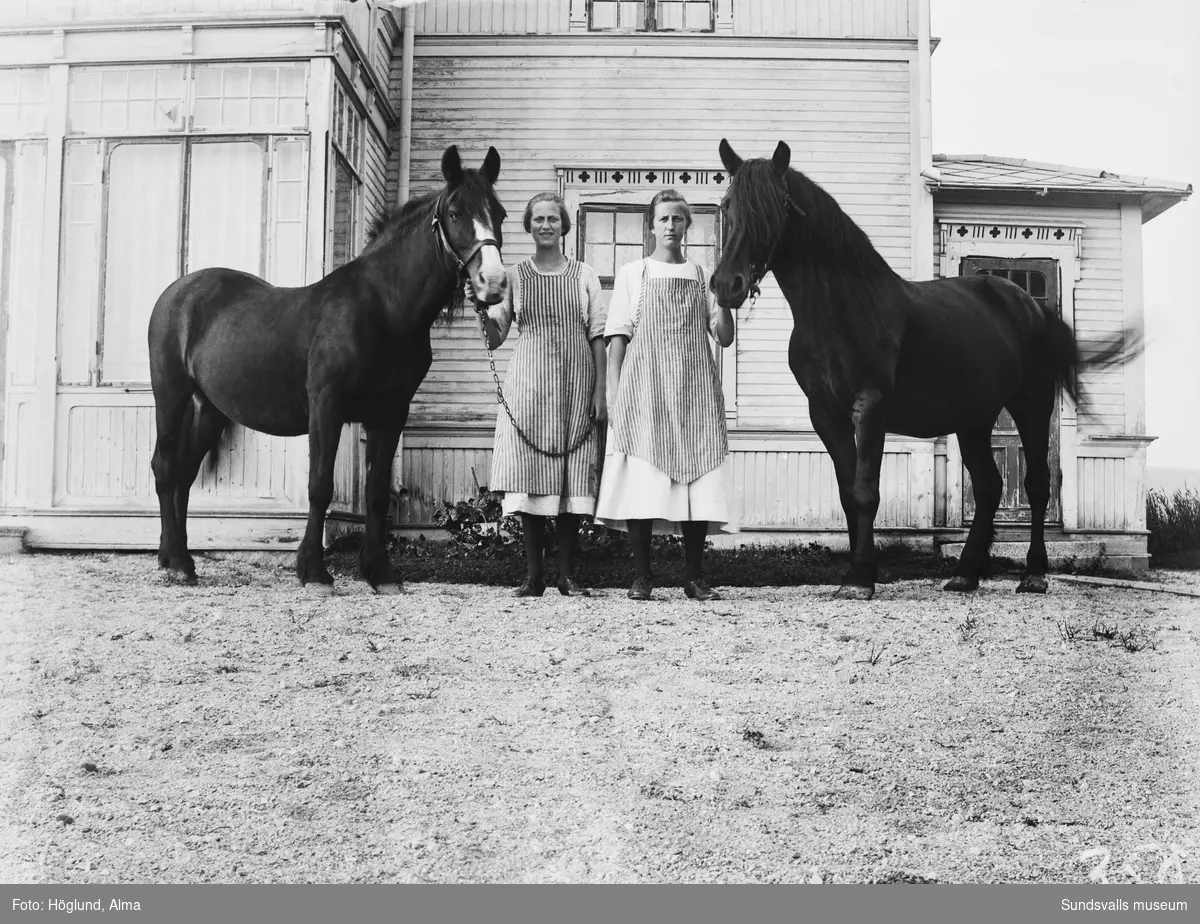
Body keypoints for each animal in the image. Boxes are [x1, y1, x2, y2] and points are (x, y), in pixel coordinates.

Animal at [148, 144, 506, 590]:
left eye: (500, 213)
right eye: (456, 213)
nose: (494, 283)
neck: (383, 310)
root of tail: (177, 292)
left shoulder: (391, 413)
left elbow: (376, 492)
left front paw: (380, 572)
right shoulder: (326, 405)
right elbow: (320, 485)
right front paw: (314, 571)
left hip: (209, 407)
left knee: (183, 474)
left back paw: (179, 558)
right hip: (171, 394)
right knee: (165, 467)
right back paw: (176, 562)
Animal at [705, 136, 1128, 597]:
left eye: (771, 209)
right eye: (727, 204)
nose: (726, 285)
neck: (841, 310)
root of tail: (1030, 306)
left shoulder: (870, 407)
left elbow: (865, 491)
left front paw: (860, 577)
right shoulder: (826, 414)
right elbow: (847, 493)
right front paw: (857, 572)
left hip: (1030, 406)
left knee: (1035, 484)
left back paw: (1033, 574)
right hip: (974, 419)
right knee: (989, 486)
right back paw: (965, 573)